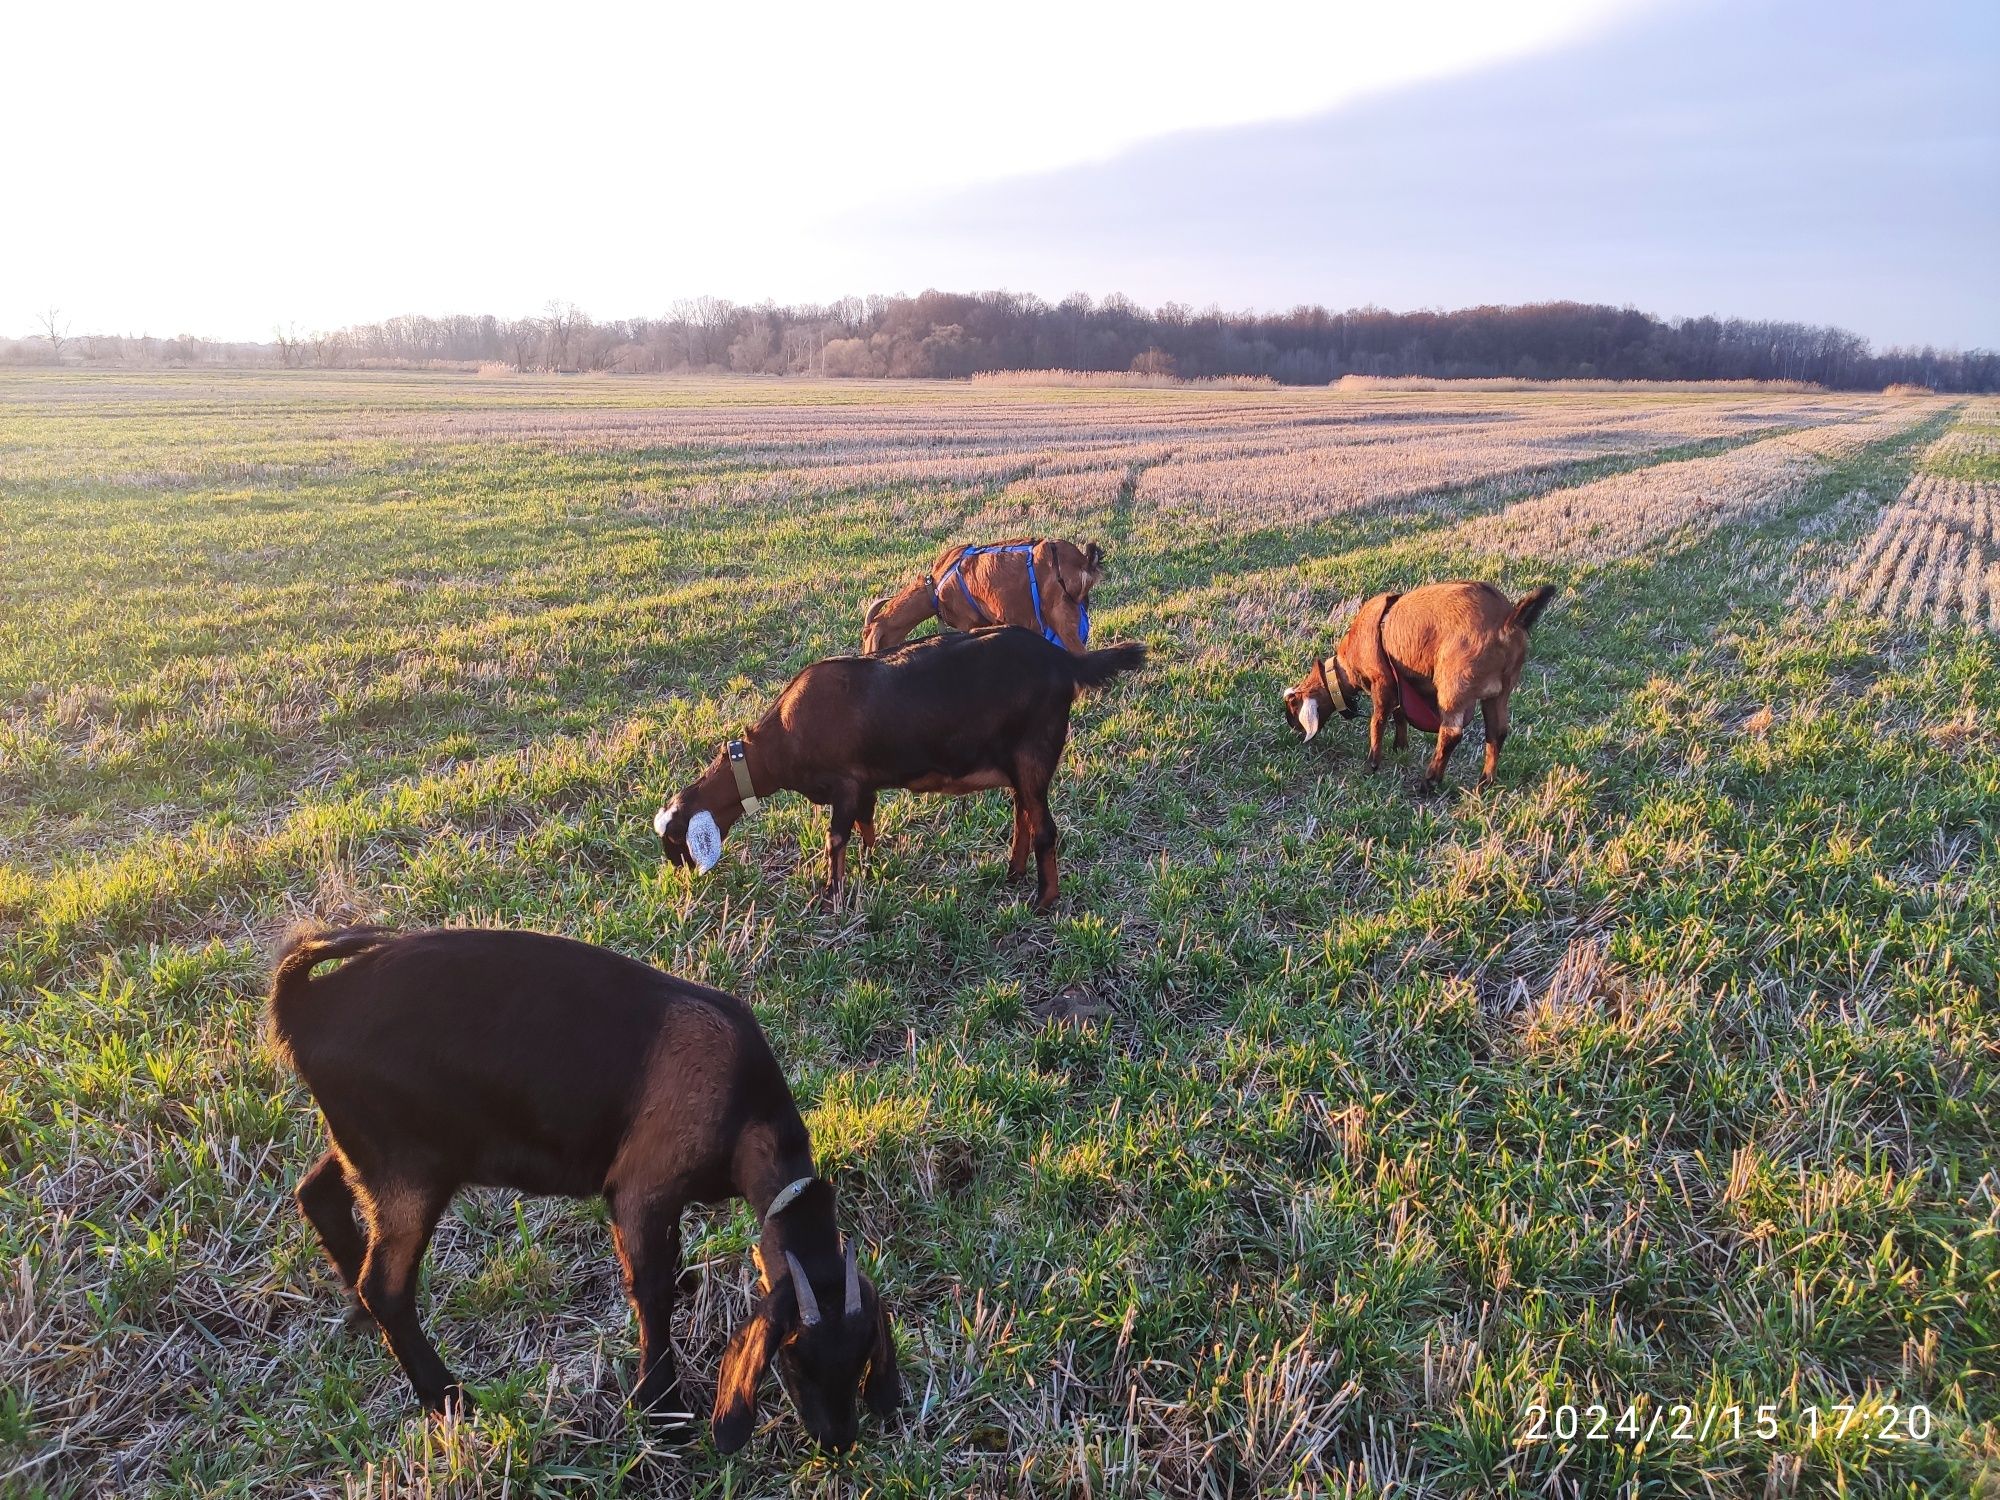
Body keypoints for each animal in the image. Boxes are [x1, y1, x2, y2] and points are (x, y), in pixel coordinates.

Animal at [270, 928, 904, 1456]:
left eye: (863, 1353)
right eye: (794, 1357)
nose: (838, 1442)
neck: (741, 1108)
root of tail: (303, 1006)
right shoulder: (640, 1189)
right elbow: (650, 1291)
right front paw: (662, 1411)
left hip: (372, 1151)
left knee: (318, 1193)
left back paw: (359, 1311)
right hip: (408, 1172)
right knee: (387, 1286)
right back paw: (449, 1397)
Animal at [660, 624, 1144, 912]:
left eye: (675, 842)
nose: (681, 880)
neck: (771, 746)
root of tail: (1062, 660)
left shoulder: (844, 783)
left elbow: (835, 839)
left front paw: (832, 896)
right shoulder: (864, 784)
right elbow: (866, 824)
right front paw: (871, 864)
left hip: (1034, 751)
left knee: (1044, 827)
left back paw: (1043, 901)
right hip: (1018, 763)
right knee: (1023, 813)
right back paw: (1013, 872)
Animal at [1280, 580, 1560, 788]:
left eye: (1292, 705)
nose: (1291, 727)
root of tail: (1508, 620)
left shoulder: (1382, 681)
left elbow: (1377, 721)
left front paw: (1372, 763)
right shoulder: (1401, 684)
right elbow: (1400, 714)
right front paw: (1400, 747)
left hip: (1454, 686)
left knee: (1451, 733)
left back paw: (1430, 781)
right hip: (1500, 691)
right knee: (1497, 731)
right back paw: (1485, 782)